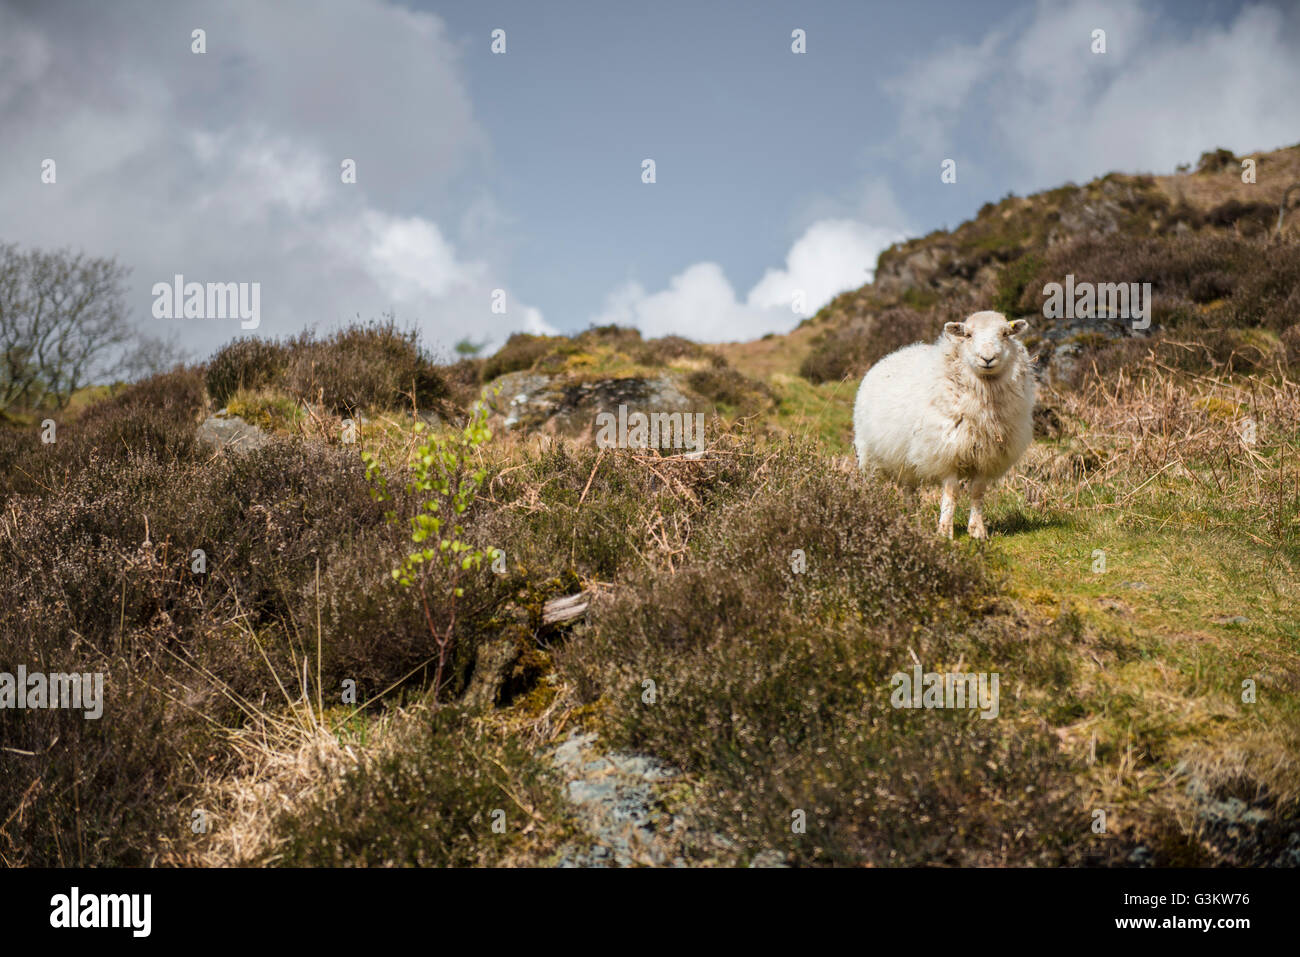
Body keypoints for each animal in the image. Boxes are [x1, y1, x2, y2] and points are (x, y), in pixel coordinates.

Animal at [852, 310, 1035, 539]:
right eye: (968, 335)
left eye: (1005, 334)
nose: (987, 358)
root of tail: (891, 355)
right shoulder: (946, 452)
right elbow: (952, 492)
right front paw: (945, 531)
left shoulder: (986, 456)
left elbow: (977, 492)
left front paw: (977, 531)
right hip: (868, 455)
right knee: (872, 485)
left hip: (905, 459)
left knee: (908, 489)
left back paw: (909, 519)